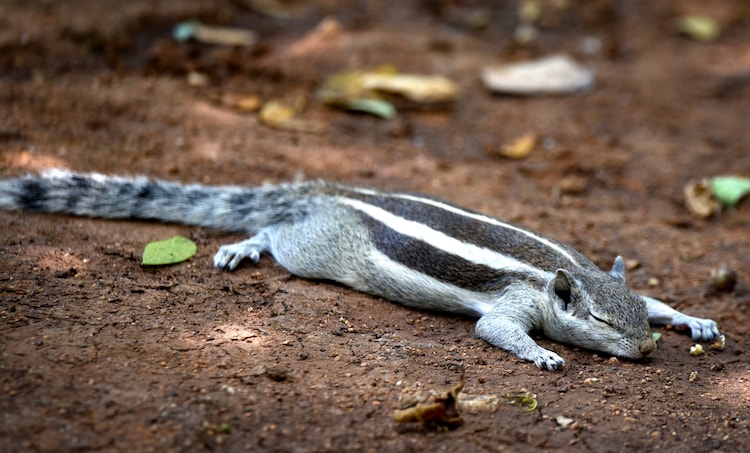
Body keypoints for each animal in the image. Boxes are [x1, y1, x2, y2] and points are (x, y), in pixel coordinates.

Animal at [0, 169, 722, 370]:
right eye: (601, 321)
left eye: (633, 316)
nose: (647, 350)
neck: (564, 269)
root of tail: (329, 192)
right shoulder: (515, 299)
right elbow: (495, 330)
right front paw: (541, 354)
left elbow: (663, 300)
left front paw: (692, 319)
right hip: (313, 249)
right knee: (275, 231)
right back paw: (246, 244)